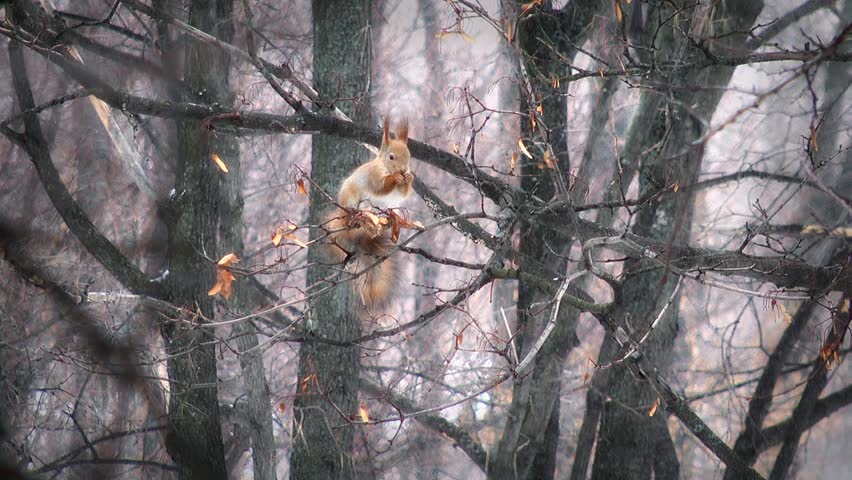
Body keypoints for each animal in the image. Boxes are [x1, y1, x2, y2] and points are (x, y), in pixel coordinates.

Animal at [323, 116, 414, 308]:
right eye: (391, 156)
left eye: (409, 156)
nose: (403, 170)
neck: (385, 167)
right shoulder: (374, 176)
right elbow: (381, 187)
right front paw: (395, 178)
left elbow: (404, 193)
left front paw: (409, 177)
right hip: (353, 199)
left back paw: (389, 218)